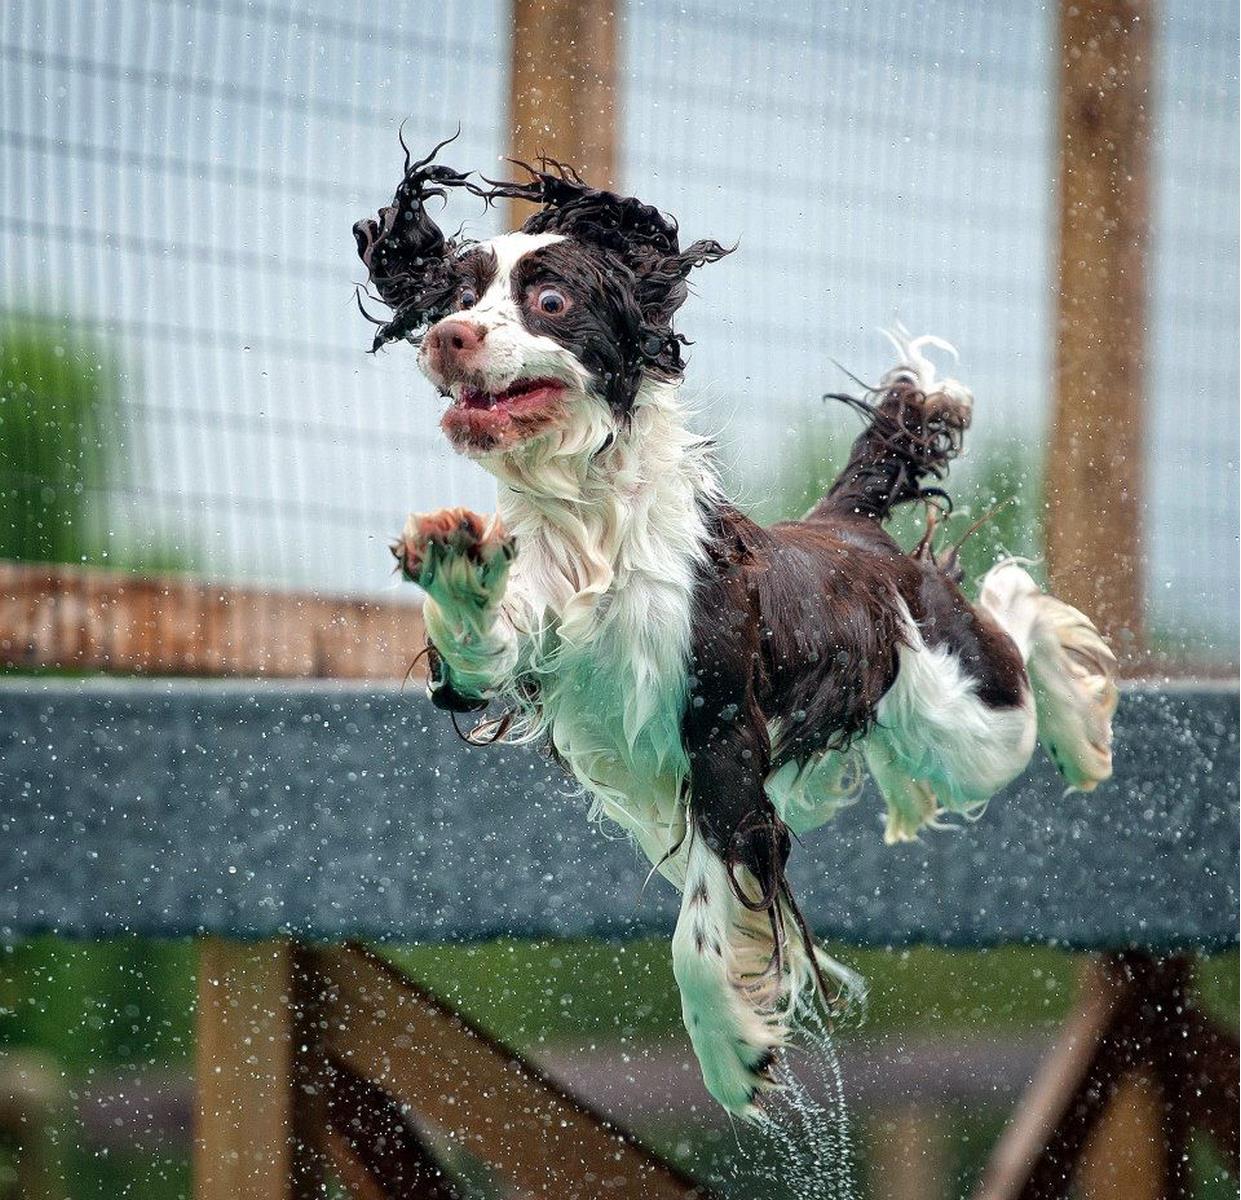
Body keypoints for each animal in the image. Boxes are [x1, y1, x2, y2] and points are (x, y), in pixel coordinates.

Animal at [353, 137, 1119, 1119]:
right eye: (454, 295)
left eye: (550, 300)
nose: (449, 337)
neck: (598, 522)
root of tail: (849, 525)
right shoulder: (532, 642)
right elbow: (475, 648)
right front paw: (453, 559)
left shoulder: (719, 732)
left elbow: (705, 922)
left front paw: (730, 1048)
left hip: (960, 716)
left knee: (1013, 614)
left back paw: (1075, 722)